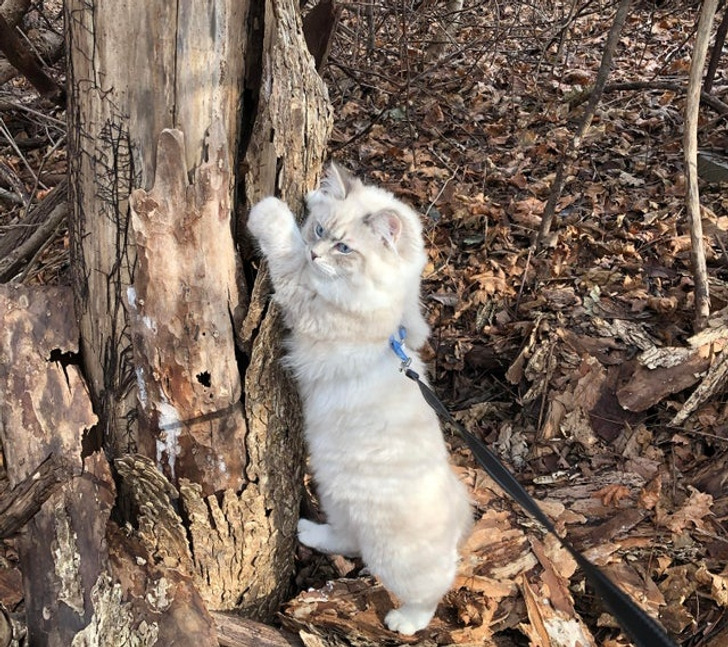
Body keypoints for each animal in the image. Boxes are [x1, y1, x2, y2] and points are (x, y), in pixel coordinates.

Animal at [246, 165, 472, 636]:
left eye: (344, 248)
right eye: (319, 230)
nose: (317, 254)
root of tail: (454, 502)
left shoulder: (302, 291)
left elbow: (284, 245)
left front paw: (267, 210)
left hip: (395, 555)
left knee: (434, 584)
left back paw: (405, 622)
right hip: (337, 497)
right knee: (346, 539)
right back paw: (307, 532)